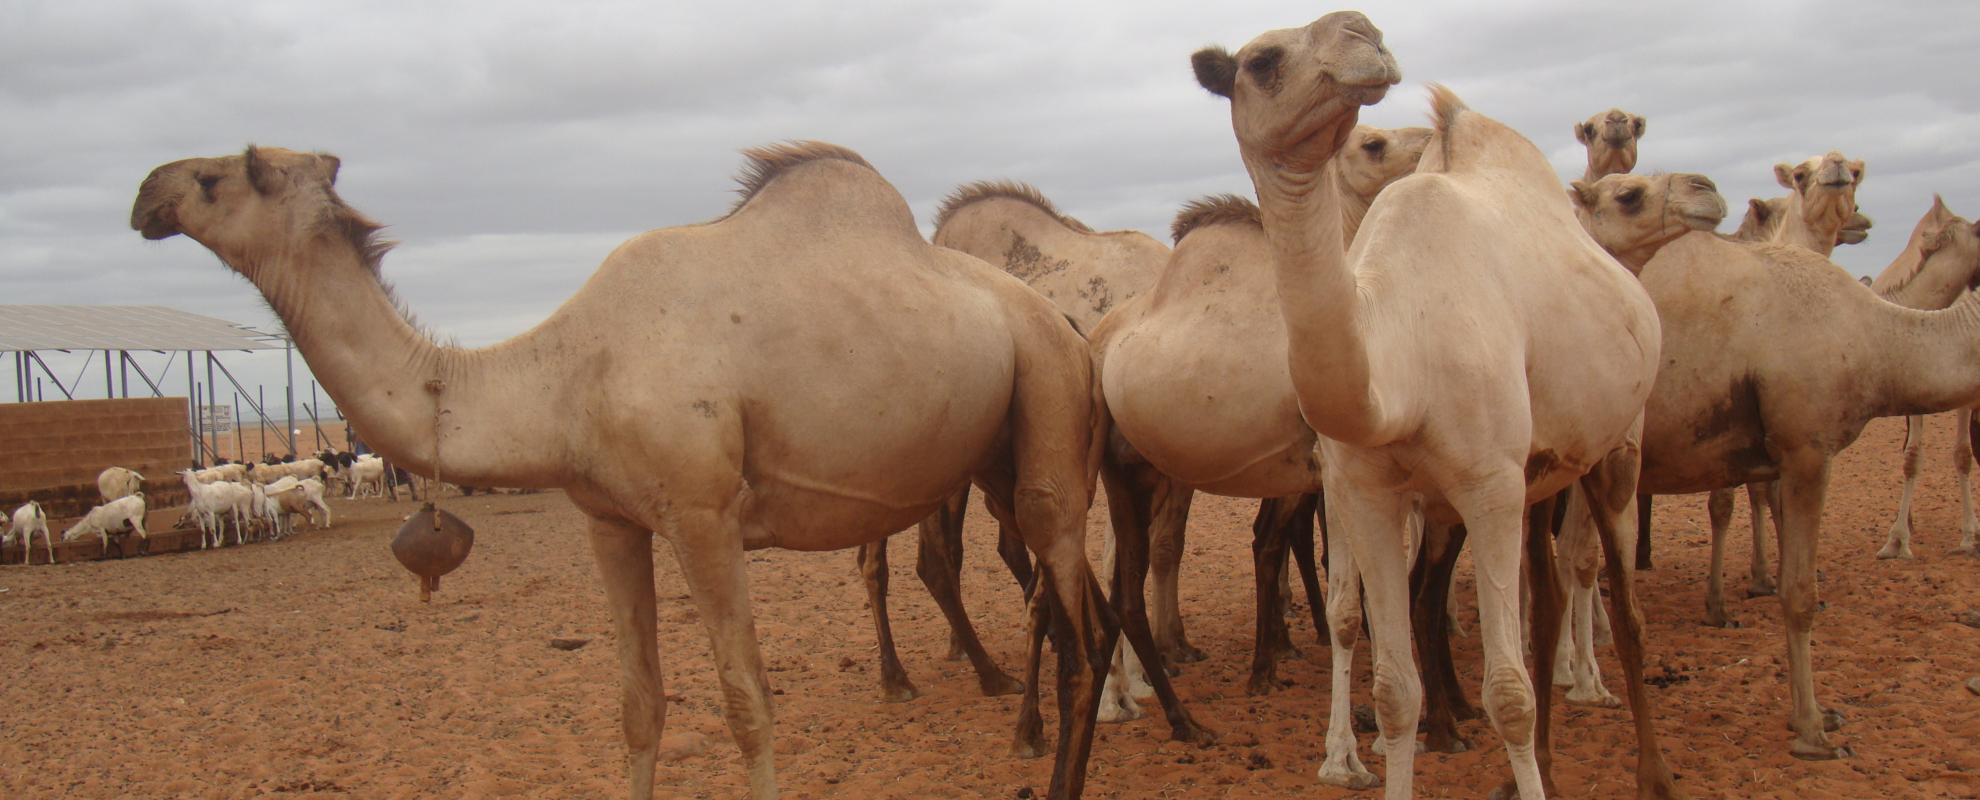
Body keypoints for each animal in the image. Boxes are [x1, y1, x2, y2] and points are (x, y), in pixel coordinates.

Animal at [131, 143, 1129, 800]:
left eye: (219, 174)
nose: (145, 193)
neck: (568, 374)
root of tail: (1071, 333)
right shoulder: (609, 519)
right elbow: (639, 706)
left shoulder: (702, 514)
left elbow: (745, 704)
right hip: (998, 450)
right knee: (1081, 609)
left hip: (1043, 403)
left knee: (1076, 619)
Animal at [1195, 12, 1675, 799]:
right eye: (1263, 60)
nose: (1363, 31)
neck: (1397, 368)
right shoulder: (1368, 491)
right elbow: (1395, 692)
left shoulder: (1489, 483)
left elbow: (1509, 695)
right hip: (1531, 475)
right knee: (1543, 598)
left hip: (1617, 444)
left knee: (1624, 607)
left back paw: (1651, 772)